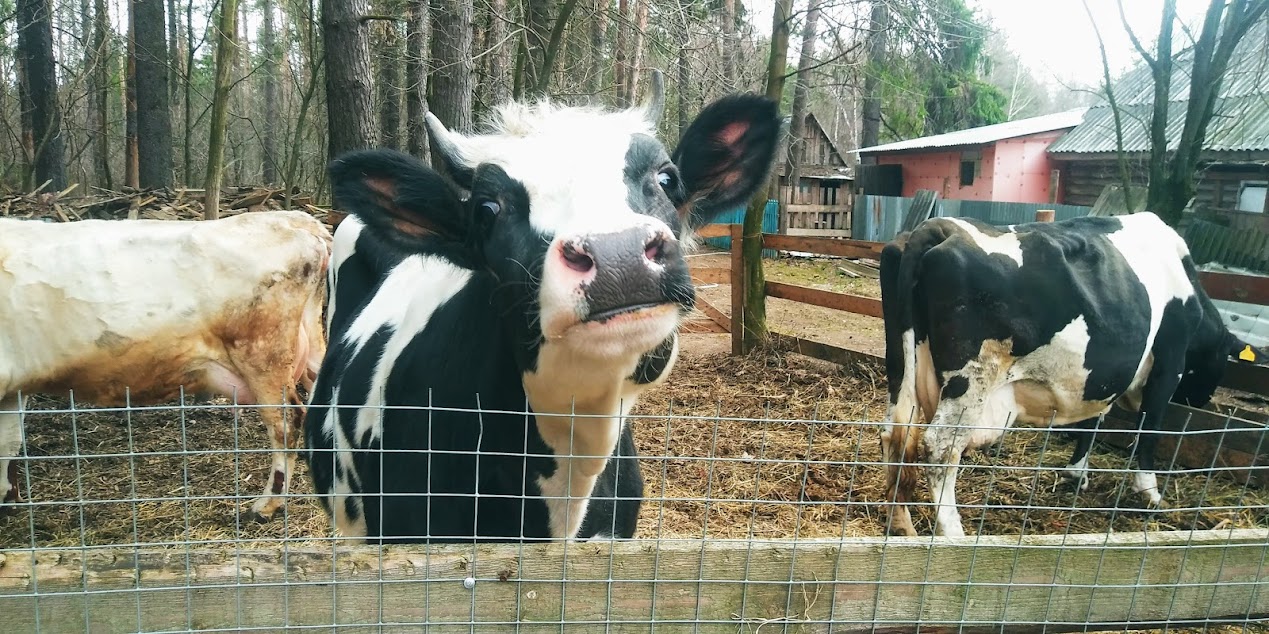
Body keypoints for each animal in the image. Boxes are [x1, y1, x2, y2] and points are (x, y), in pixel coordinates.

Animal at [0, 210, 332, 522]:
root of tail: (294, 219)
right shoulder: (14, 387)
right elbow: (10, 442)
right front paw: (9, 500)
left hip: (262, 354)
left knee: (286, 422)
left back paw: (266, 505)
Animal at [878, 211, 1263, 535]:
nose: (1203, 400)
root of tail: (938, 226)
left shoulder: (1100, 378)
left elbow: (1094, 419)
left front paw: (1077, 474)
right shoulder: (1170, 362)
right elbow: (1150, 425)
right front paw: (1150, 493)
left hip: (901, 368)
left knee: (896, 433)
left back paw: (900, 523)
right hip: (972, 381)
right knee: (940, 447)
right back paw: (953, 534)